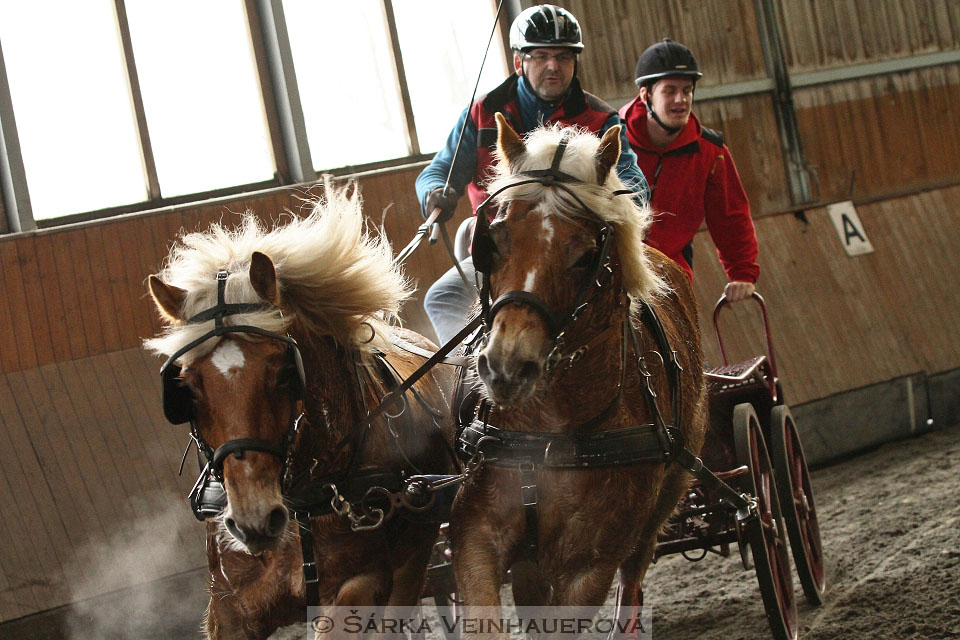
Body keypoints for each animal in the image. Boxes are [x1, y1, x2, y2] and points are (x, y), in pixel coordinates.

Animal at [143, 181, 458, 640]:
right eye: (187, 386)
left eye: (283, 371)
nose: (255, 519)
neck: (302, 498)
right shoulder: (228, 610)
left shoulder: (359, 587)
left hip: (412, 560)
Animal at [446, 115, 708, 620]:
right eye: (492, 241)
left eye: (587, 256)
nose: (507, 367)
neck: (547, 435)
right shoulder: (476, 536)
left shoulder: (589, 565)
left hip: (666, 497)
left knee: (635, 572)